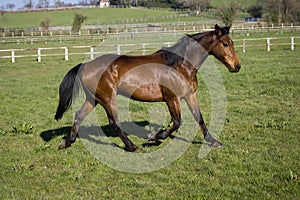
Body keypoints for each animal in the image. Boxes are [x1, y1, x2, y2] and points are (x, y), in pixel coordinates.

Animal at [54, 23, 241, 152]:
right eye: (225, 44)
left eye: (232, 43)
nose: (237, 66)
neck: (181, 65)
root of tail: (86, 65)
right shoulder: (172, 99)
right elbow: (177, 121)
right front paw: (155, 136)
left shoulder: (190, 95)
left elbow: (199, 118)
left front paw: (213, 141)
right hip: (107, 98)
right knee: (114, 122)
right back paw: (132, 146)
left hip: (94, 99)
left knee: (79, 115)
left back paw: (67, 142)